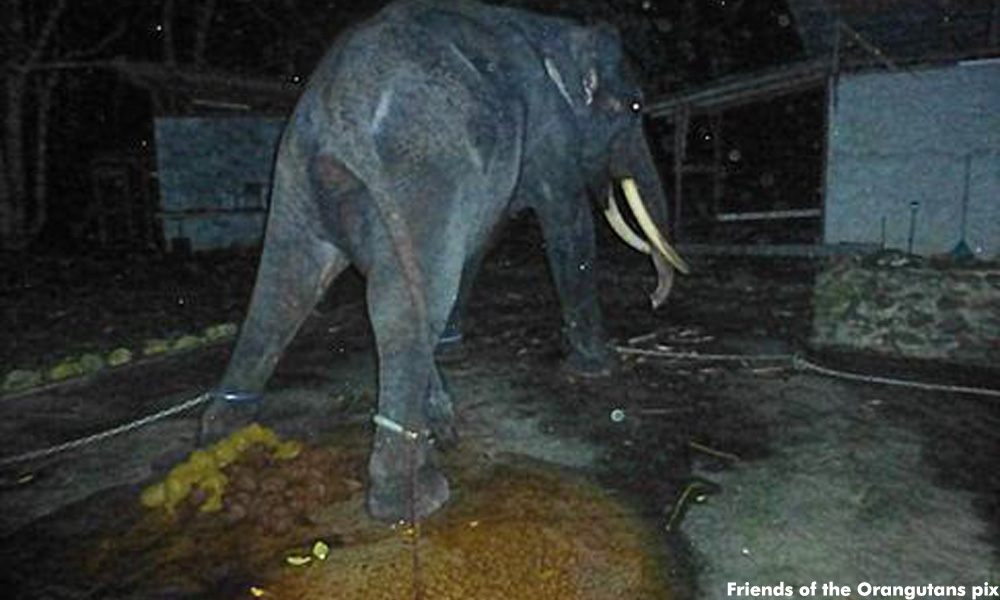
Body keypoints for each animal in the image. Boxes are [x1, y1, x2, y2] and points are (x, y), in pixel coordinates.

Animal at [199, 0, 688, 523]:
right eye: (635, 108)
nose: (655, 297)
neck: (559, 30)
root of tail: (341, 108)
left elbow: (480, 243)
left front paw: (453, 349)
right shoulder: (547, 135)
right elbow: (568, 228)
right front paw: (601, 366)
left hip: (297, 175)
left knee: (284, 287)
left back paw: (221, 432)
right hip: (423, 176)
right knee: (401, 306)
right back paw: (414, 494)